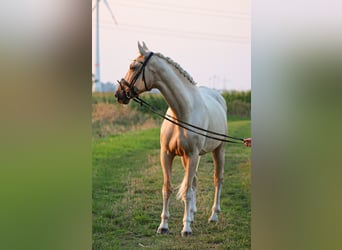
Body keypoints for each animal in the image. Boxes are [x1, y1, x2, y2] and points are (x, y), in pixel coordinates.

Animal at [115, 41, 230, 236]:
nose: (119, 94)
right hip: (187, 158)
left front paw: (186, 228)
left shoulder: (192, 155)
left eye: (133, 67)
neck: (182, 113)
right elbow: (168, 188)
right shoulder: (167, 154)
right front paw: (164, 225)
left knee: (217, 180)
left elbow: (187, 191)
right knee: (194, 181)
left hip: (218, 150)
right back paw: (192, 213)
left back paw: (213, 215)